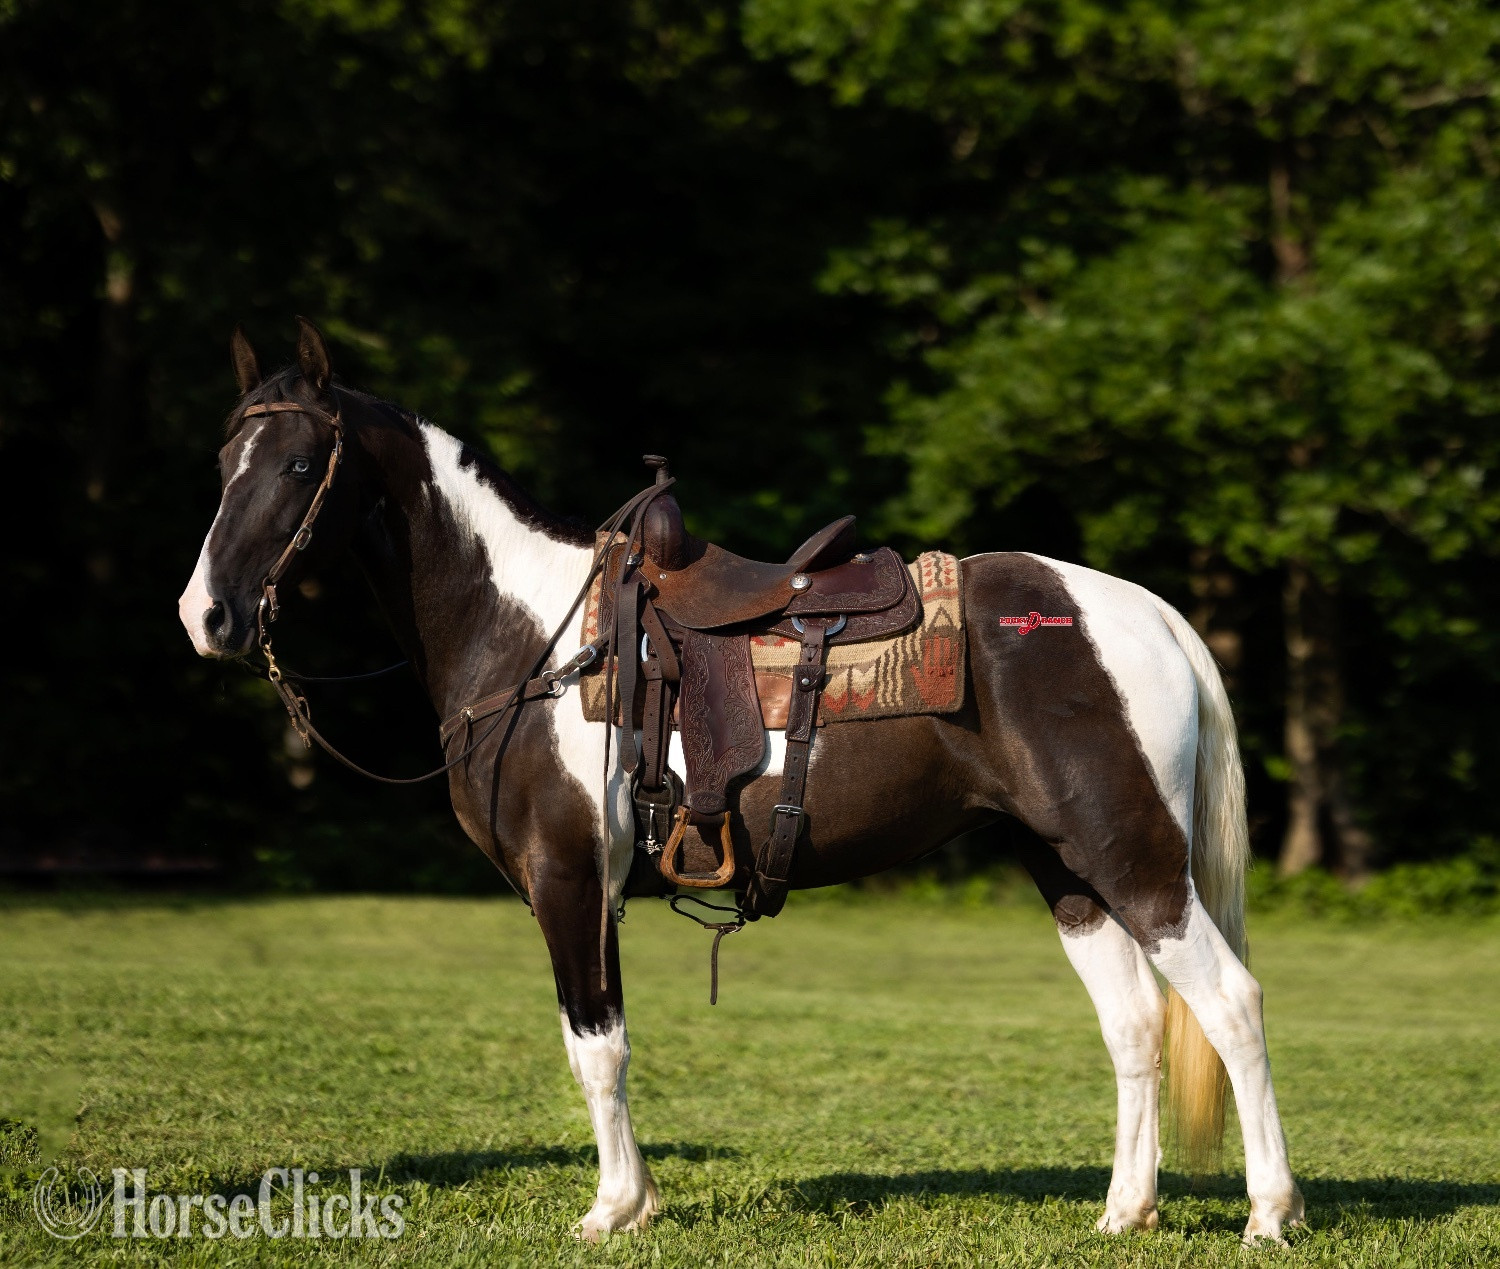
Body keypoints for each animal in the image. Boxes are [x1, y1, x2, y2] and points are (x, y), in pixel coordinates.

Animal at [178, 319, 1302, 1244]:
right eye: (224, 463)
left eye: (298, 463)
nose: (207, 615)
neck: (535, 638)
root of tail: (1148, 614)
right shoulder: (590, 892)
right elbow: (602, 1040)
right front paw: (632, 1201)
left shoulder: (568, 880)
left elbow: (596, 1045)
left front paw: (612, 1210)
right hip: (1068, 870)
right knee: (1136, 1024)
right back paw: (1125, 1211)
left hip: (1135, 859)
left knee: (1233, 1002)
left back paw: (1268, 1214)